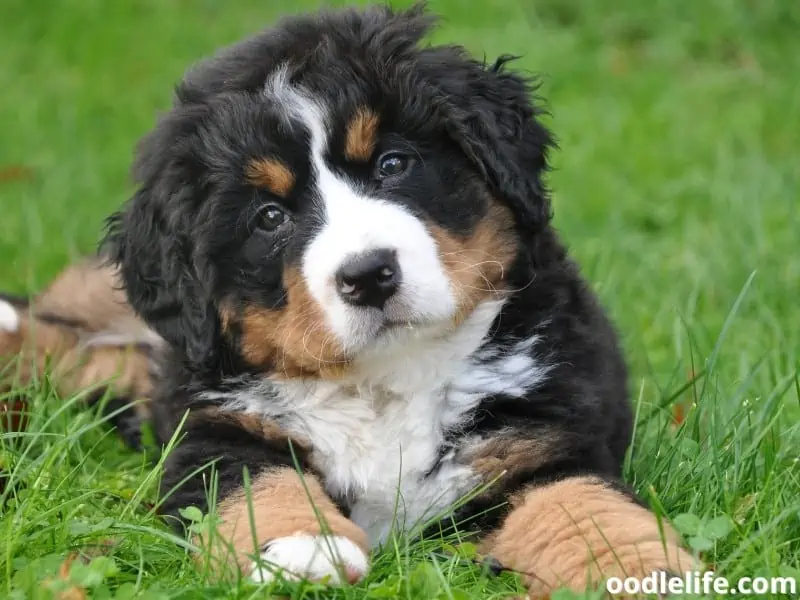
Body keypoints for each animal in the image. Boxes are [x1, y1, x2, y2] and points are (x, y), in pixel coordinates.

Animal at [1, 3, 700, 596]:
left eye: (393, 164)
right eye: (270, 217)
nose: (368, 275)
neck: (385, 380)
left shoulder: (542, 437)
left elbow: (584, 510)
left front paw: (642, 569)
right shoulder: (210, 429)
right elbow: (260, 482)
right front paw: (300, 547)